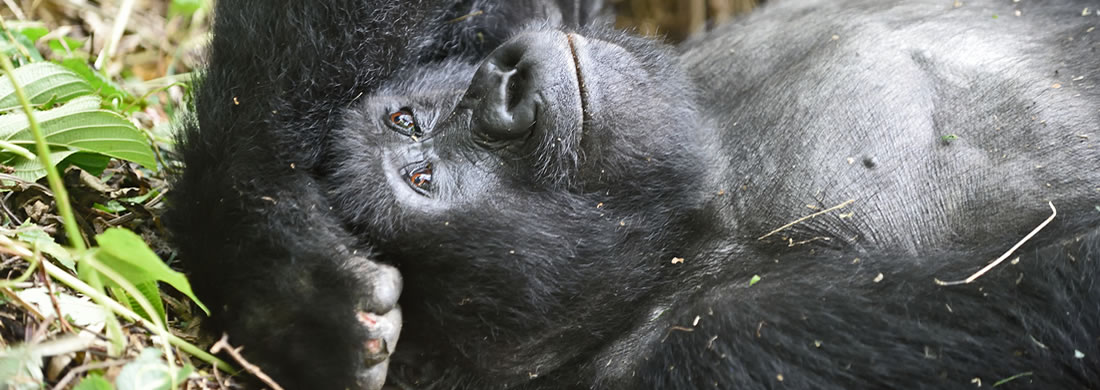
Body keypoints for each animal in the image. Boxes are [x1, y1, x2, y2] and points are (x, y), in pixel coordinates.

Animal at [167, 0, 1095, 388]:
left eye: (407, 117)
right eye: (421, 179)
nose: (507, 87)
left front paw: (277, 262)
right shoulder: (730, 343)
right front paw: (290, 297)